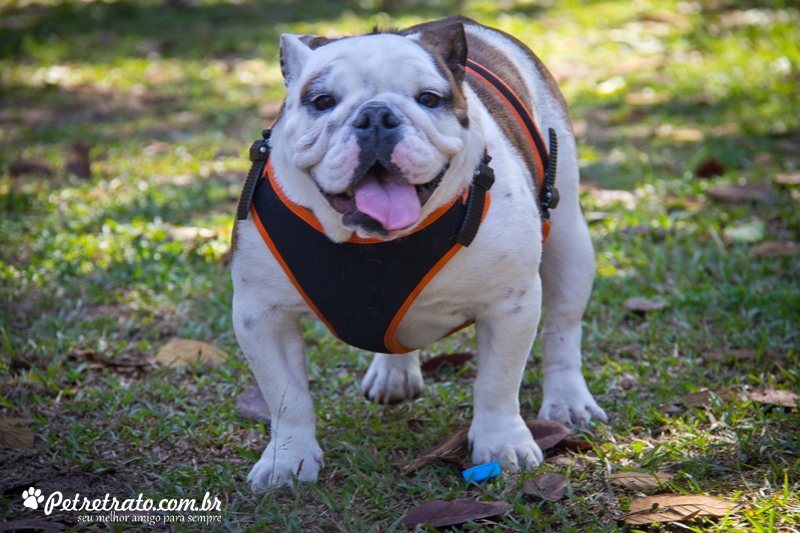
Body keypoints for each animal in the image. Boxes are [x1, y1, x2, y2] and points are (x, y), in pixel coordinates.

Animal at [231, 15, 608, 490]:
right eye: (322, 101)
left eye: (428, 99)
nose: (375, 115)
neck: (372, 242)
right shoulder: (262, 315)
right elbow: (286, 395)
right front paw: (287, 460)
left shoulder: (510, 306)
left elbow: (498, 382)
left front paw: (502, 443)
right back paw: (393, 374)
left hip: (570, 239)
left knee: (563, 327)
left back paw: (568, 401)